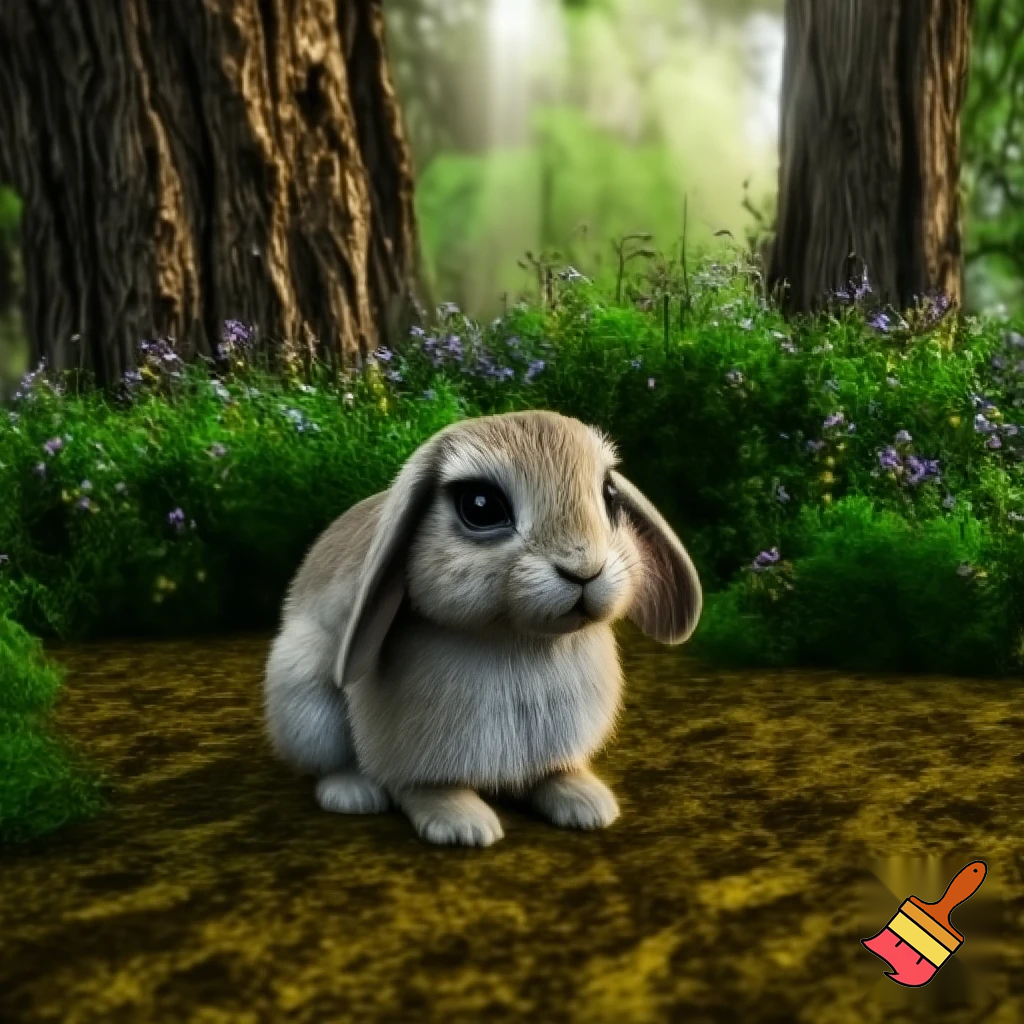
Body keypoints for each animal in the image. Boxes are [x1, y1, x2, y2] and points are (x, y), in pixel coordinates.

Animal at [263, 409, 702, 846]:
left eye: (610, 495)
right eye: (481, 505)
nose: (584, 569)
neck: (519, 639)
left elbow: (552, 772)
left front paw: (586, 803)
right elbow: (424, 786)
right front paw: (463, 825)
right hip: (306, 703)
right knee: (334, 764)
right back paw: (354, 794)